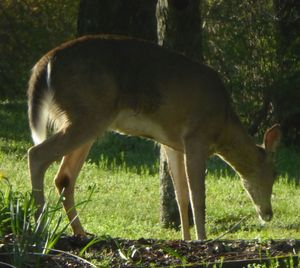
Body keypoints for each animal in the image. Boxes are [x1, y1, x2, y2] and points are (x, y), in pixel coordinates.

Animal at [26, 34, 282, 241]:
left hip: (85, 119)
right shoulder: (196, 137)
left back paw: (81, 232)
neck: (223, 125)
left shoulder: (172, 143)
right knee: (36, 154)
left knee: (63, 177)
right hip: (88, 115)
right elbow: (197, 195)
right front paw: (202, 239)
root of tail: (43, 65)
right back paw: (40, 226)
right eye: (274, 174)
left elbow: (180, 195)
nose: (268, 213)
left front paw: (186, 239)